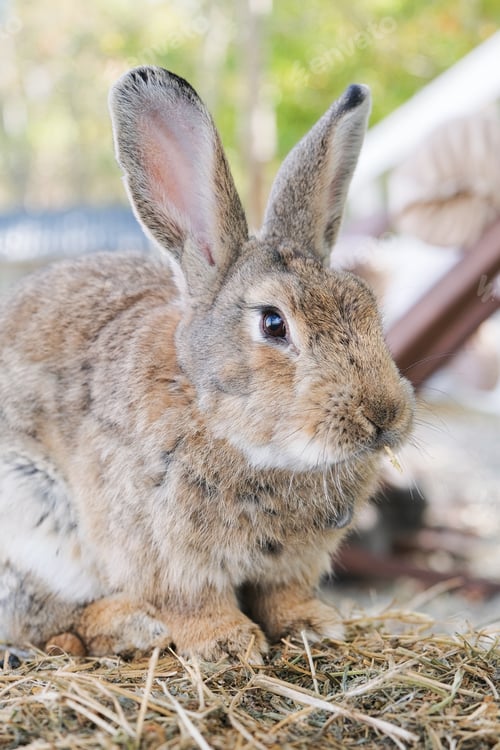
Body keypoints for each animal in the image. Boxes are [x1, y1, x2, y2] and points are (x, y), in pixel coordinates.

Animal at [0, 67, 414, 662]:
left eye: (365, 304)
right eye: (273, 323)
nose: (383, 415)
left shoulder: (290, 565)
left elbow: (284, 594)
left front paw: (314, 626)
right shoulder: (162, 555)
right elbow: (192, 602)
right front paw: (227, 645)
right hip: (31, 521)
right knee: (40, 619)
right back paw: (132, 627)